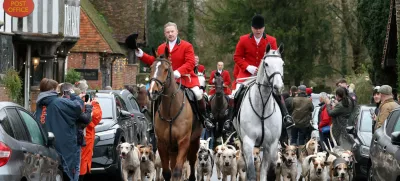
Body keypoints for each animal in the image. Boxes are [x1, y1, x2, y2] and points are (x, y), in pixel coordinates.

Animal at [148, 51, 203, 181]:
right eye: (151, 68)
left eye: (166, 69)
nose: (153, 92)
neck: (170, 111)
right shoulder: (162, 144)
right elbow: (167, 173)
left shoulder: (183, 142)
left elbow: (177, 172)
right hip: (173, 149)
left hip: (194, 142)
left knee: (192, 163)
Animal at [233, 43, 286, 181]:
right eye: (266, 64)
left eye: (282, 63)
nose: (278, 87)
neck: (262, 107)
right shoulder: (248, 142)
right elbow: (251, 173)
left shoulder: (270, 145)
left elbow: (263, 172)